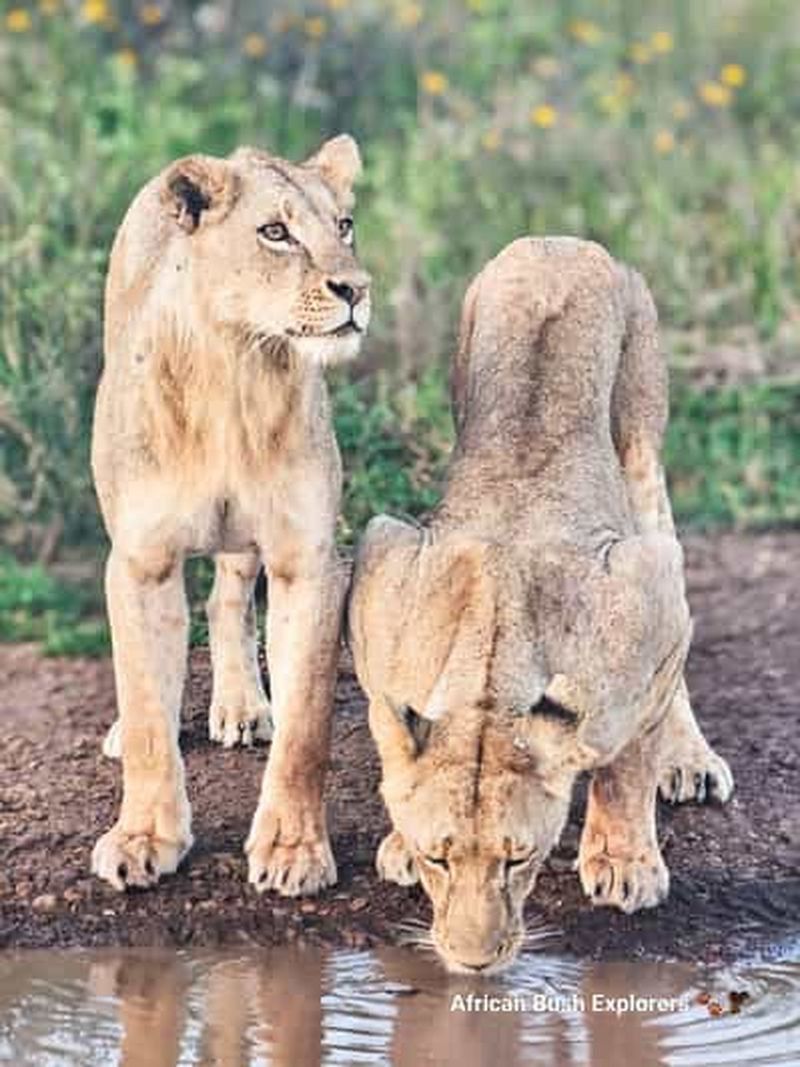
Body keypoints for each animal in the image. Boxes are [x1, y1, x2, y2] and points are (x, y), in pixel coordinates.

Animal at [90, 135, 370, 896]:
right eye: (275, 232)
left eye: (344, 227)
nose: (356, 290)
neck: (239, 371)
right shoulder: (141, 561)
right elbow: (149, 714)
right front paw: (143, 838)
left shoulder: (307, 561)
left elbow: (306, 727)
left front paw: (294, 849)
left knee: (227, 600)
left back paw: (243, 706)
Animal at [348, 237, 733, 973]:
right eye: (440, 858)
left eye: (518, 859)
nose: (474, 963)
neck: (490, 673)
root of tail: (559, 241)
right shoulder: (382, 558)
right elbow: (394, 738)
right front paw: (396, 838)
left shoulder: (650, 589)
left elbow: (626, 755)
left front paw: (626, 861)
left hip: (641, 440)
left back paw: (691, 762)